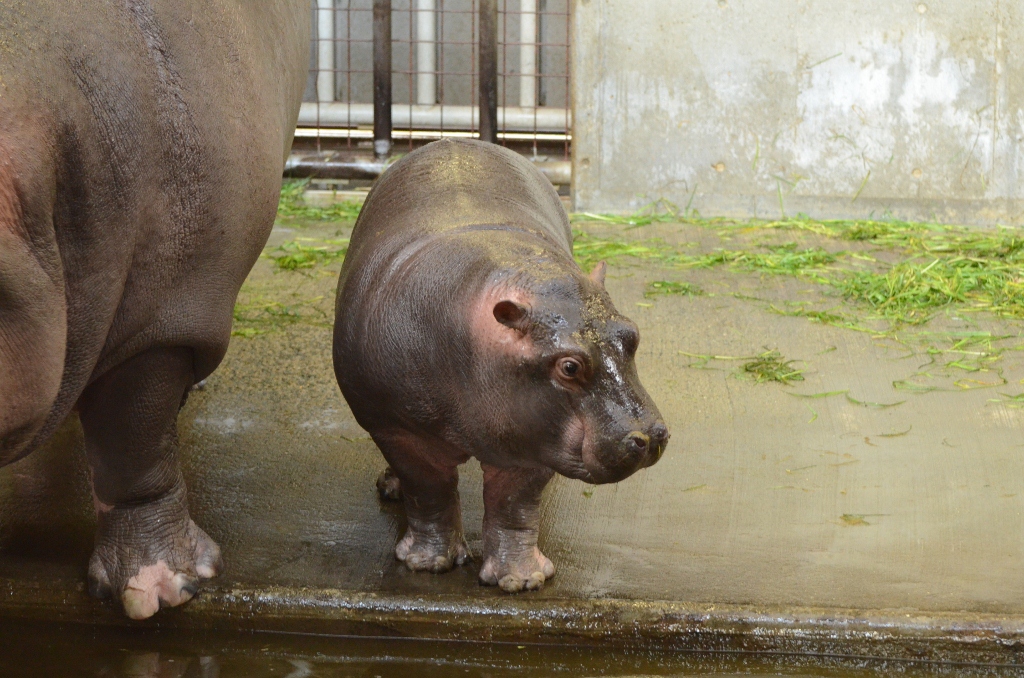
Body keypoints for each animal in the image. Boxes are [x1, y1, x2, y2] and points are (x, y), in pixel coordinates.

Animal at [335, 139, 667, 594]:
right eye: (568, 367)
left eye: (632, 334)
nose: (650, 436)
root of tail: (453, 141)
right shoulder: (399, 430)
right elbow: (430, 491)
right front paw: (427, 563)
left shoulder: (534, 436)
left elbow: (514, 505)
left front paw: (520, 580)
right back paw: (391, 489)